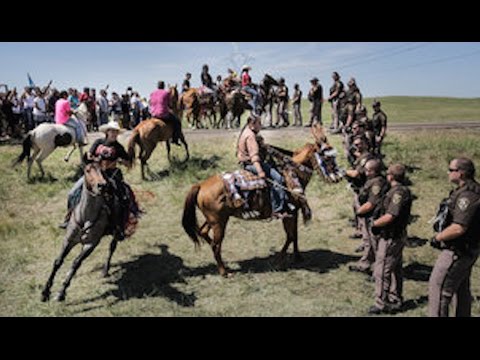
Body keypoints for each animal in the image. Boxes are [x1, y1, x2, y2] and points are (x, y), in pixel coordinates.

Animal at [41, 160, 120, 300]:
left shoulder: (90, 245)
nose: (102, 185)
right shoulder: (69, 240)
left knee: (112, 247)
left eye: (102, 170)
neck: (85, 217)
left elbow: (76, 263)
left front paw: (62, 291)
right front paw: (45, 291)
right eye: (87, 170)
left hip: (116, 231)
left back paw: (105, 270)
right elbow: (58, 261)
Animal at [182, 124, 344, 276]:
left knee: (203, 232)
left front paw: (298, 256)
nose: (339, 177)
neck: (291, 175)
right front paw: (279, 259)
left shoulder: (294, 212)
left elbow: (295, 235)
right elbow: (290, 236)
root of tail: (200, 185)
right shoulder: (288, 214)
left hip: (214, 219)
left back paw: (223, 263)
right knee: (216, 244)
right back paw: (224, 272)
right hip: (219, 222)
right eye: (327, 157)